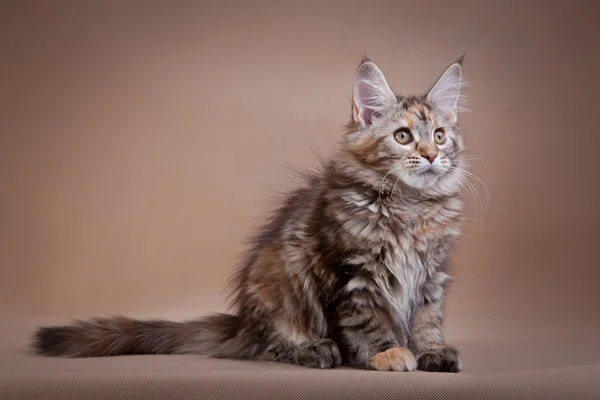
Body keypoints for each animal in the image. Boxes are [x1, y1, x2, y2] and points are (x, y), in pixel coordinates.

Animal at [35, 55, 472, 372]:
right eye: (403, 136)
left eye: (439, 136)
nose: (431, 156)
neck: (410, 207)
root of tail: (241, 322)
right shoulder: (352, 274)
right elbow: (366, 320)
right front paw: (387, 352)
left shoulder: (431, 274)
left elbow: (427, 319)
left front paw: (431, 351)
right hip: (278, 277)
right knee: (270, 344)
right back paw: (314, 349)